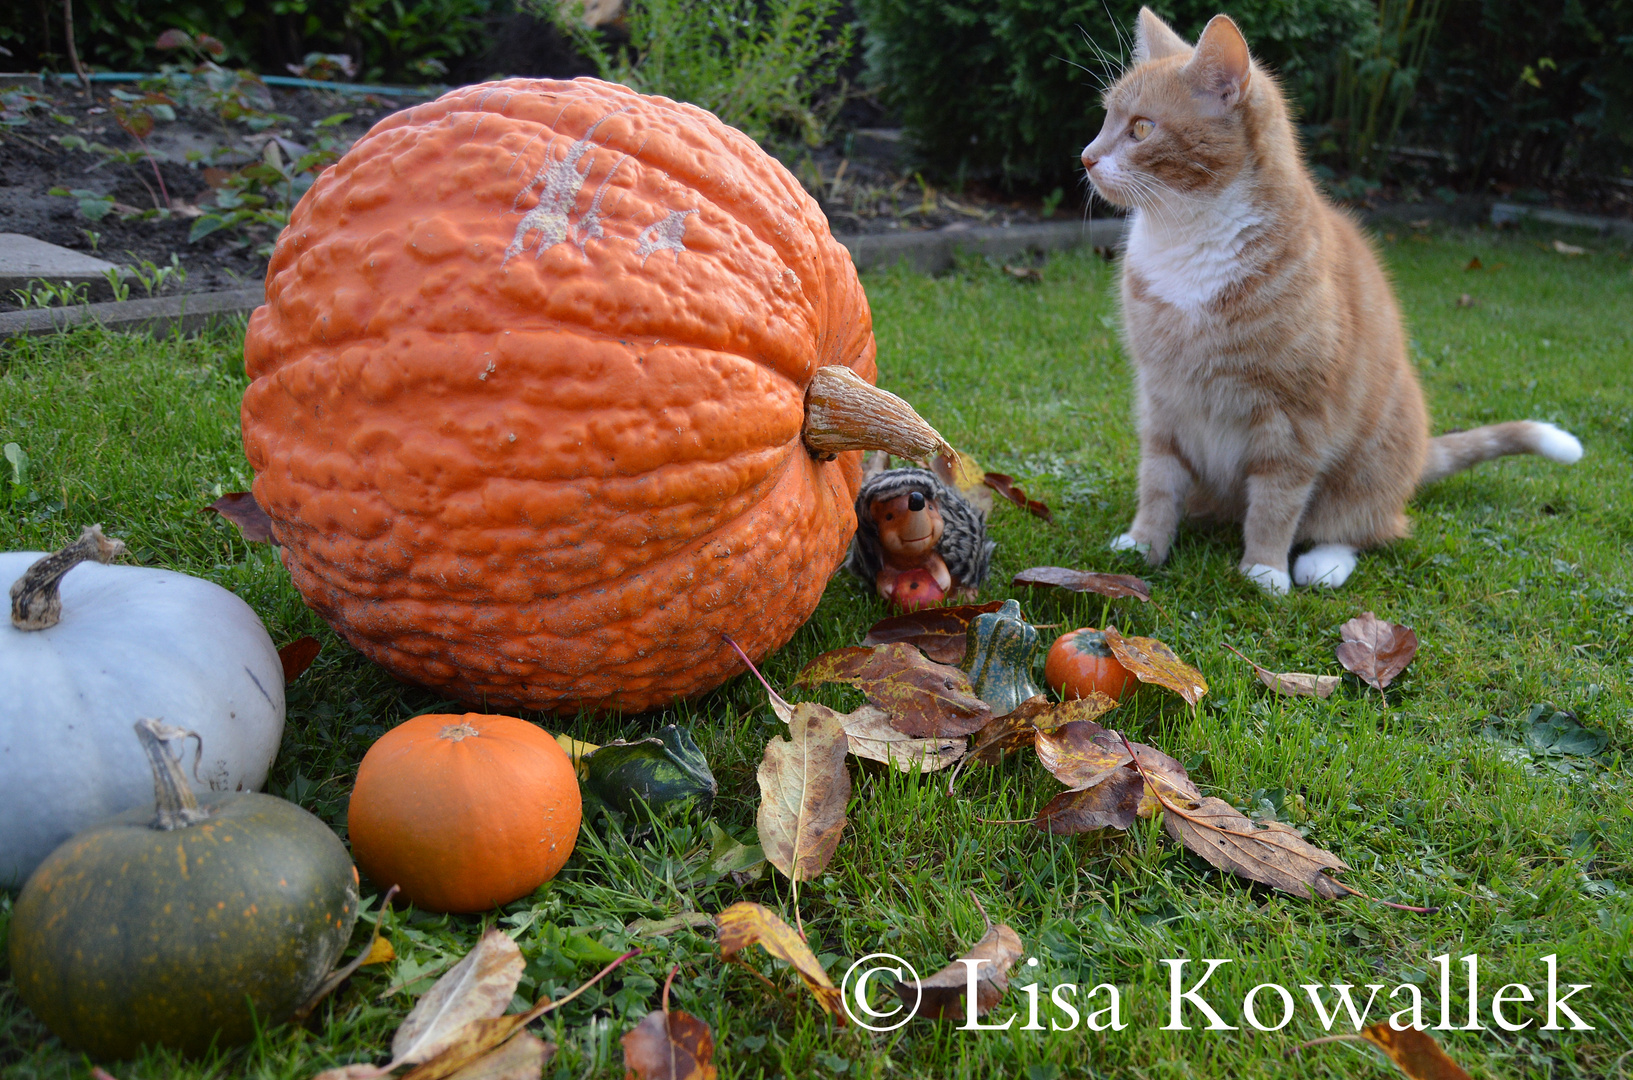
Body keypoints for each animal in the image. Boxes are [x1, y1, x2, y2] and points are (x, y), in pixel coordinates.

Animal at [1084, 8, 1580, 594]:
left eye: (1140, 128)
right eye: (1105, 120)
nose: (1086, 157)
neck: (1187, 244)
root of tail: (1418, 456)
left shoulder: (1295, 419)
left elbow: (1276, 502)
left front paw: (1264, 571)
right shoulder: (1161, 401)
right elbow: (1158, 483)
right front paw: (1144, 546)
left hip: (1373, 460)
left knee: (1363, 525)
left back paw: (1323, 562)